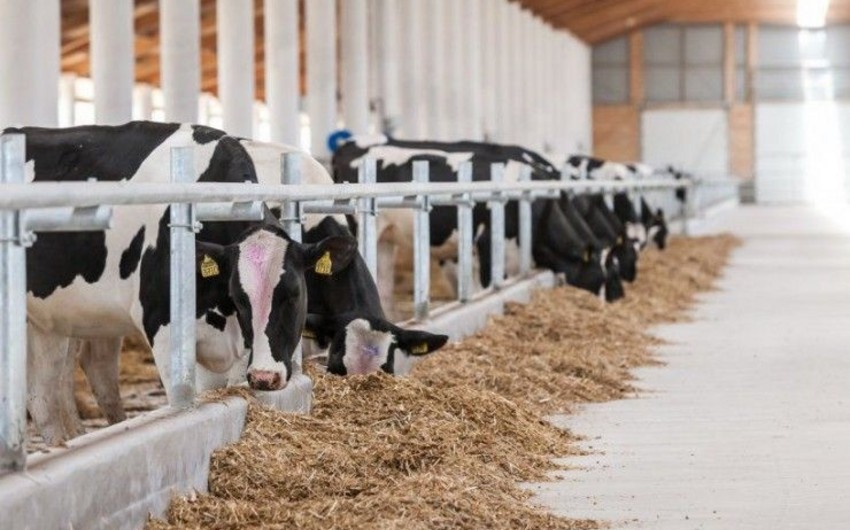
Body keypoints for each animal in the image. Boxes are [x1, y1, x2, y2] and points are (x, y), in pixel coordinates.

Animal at [14, 122, 358, 442]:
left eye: (295, 294)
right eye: (239, 296)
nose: (264, 377)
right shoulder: (164, 330)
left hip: (51, 321)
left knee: (45, 395)